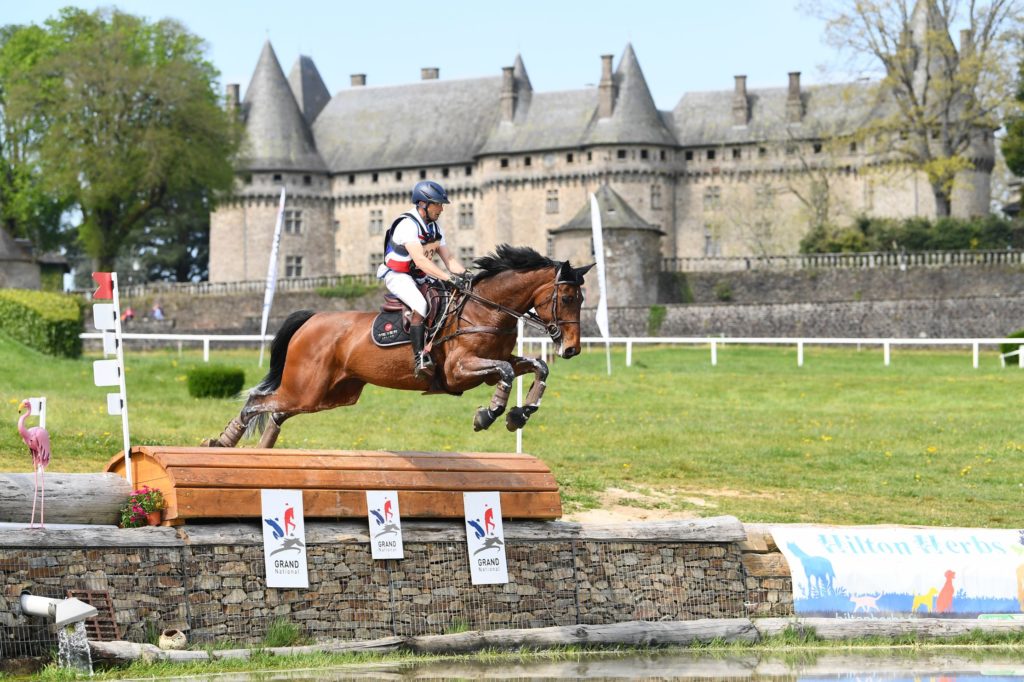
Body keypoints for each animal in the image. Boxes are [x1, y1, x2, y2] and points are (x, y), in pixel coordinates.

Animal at [205, 242, 593, 446]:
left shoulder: (495, 362)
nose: (571, 349)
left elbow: (536, 367)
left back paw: (259, 452)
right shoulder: (458, 370)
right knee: (258, 402)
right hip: (307, 388)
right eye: (568, 297)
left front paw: (518, 414)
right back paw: (223, 441)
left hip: (330, 394)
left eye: (581, 298)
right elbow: (506, 373)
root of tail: (312, 319)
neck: (485, 308)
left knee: (277, 410)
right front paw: (489, 413)